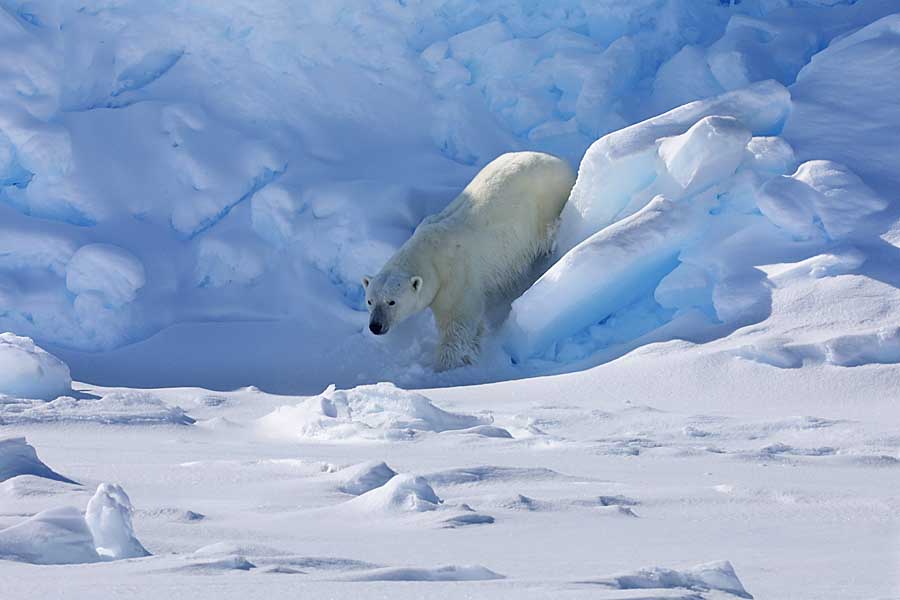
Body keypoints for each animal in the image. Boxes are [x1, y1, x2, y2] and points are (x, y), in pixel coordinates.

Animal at [362, 151, 572, 370]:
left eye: (391, 301)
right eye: (370, 301)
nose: (375, 326)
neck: (429, 254)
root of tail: (559, 161)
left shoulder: (456, 279)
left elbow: (457, 325)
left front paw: (445, 367)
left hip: (546, 206)